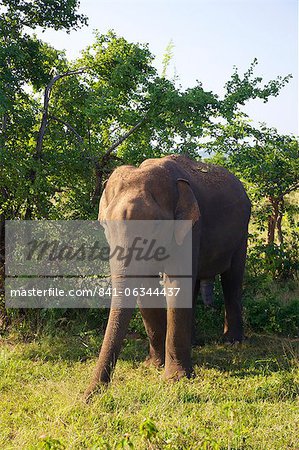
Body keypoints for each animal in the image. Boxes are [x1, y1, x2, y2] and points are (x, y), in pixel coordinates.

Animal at [84, 155, 251, 398]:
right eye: (105, 225)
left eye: (155, 225)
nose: (89, 396)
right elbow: (148, 284)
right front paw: (153, 365)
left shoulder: (191, 227)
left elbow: (177, 282)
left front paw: (175, 379)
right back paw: (195, 342)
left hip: (242, 232)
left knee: (232, 279)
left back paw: (232, 342)